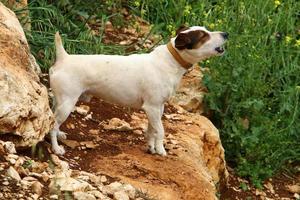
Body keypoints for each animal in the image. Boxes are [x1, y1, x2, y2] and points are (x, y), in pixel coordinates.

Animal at [49, 25, 229, 155]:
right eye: (203, 36)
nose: (226, 34)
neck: (170, 61)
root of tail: (64, 58)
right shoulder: (152, 107)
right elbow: (161, 131)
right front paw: (161, 150)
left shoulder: (157, 108)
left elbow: (152, 130)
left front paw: (151, 147)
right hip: (67, 103)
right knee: (53, 125)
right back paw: (56, 148)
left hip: (60, 101)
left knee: (53, 119)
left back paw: (59, 135)